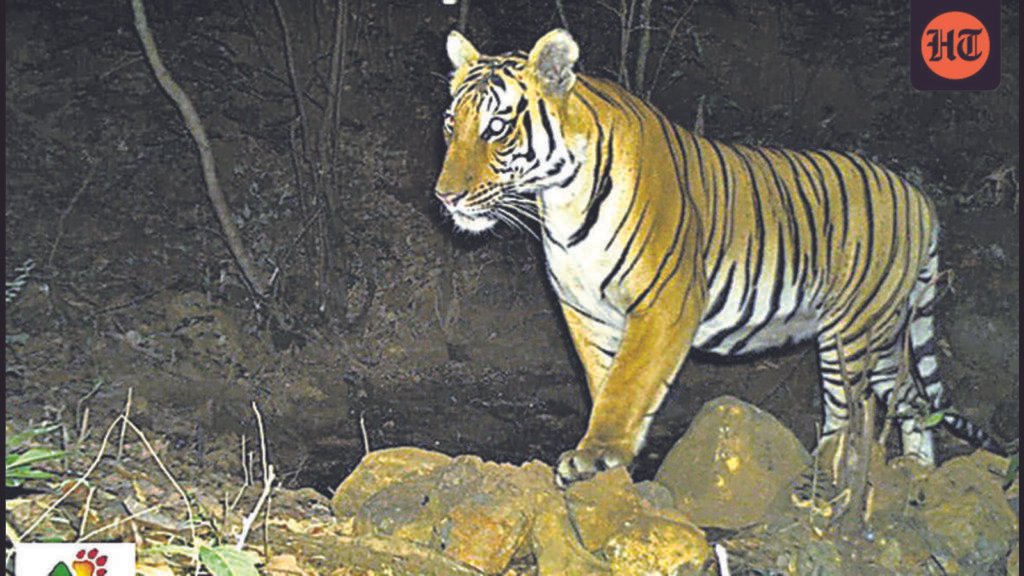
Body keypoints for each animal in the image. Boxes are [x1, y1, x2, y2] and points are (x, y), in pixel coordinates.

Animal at [434, 28, 1000, 487]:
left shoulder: (664, 302)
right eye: (450, 125)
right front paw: (611, 457)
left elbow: (628, 382)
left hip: (851, 332)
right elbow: (602, 380)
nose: (445, 197)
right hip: (883, 336)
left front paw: (596, 456)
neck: (559, 200)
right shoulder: (584, 311)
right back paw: (918, 473)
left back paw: (826, 474)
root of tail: (916, 195)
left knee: (851, 412)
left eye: (496, 128)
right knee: (912, 399)